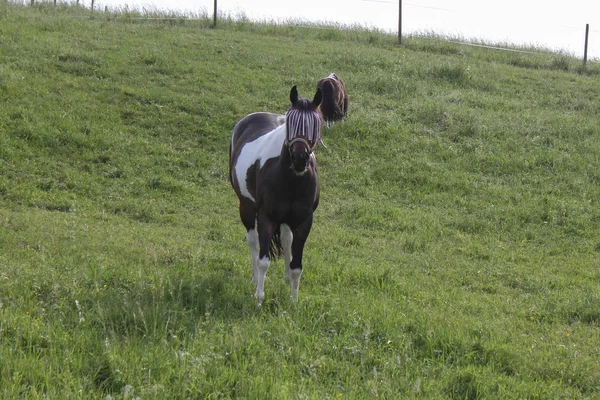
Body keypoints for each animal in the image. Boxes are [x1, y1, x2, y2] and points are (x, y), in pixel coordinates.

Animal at [230, 85, 324, 304]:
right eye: (290, 122)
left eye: (315, 124)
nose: (300, 158)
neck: (291, 179)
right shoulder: (267, 217)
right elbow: (263, 260)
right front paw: (259, 298)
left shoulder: (304, 221)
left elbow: (297, 265)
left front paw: (293, 301)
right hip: (246, 207)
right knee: (253, 241)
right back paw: (254, 279)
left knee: (286, 240)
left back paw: (286, 279)